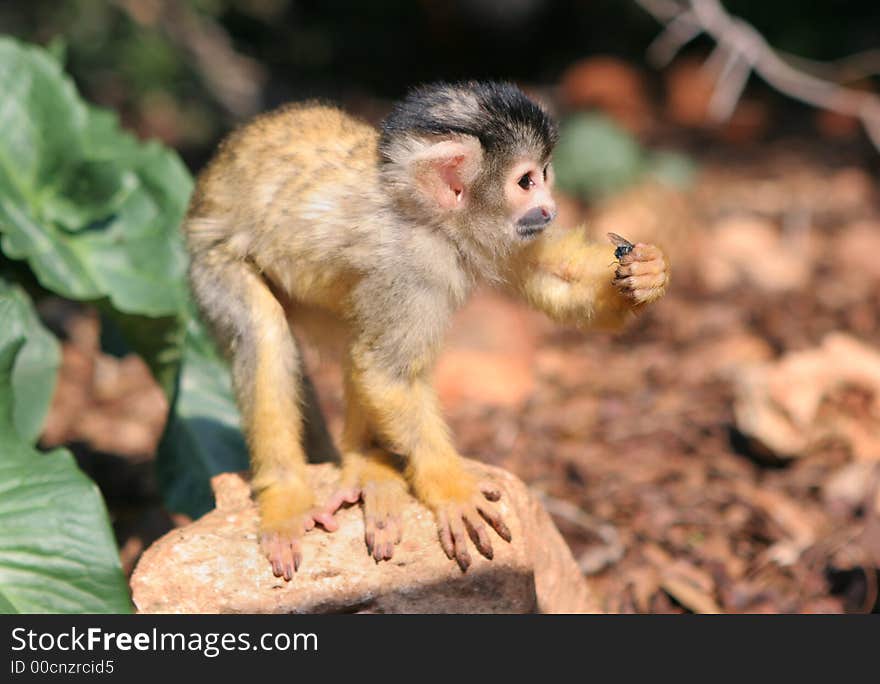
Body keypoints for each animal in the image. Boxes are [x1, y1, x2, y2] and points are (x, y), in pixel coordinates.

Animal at [184, 83, 668, 580]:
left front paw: (646, 274)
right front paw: (452, 488)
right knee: (265, 333)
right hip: (209, 261)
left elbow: (558, 279)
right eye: (526, 182)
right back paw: (286, 496)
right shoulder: (412, 264)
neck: (432, 220)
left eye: (545, 175)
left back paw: (368, 465)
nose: (550, 208)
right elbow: (386, 374)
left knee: (353, 330)